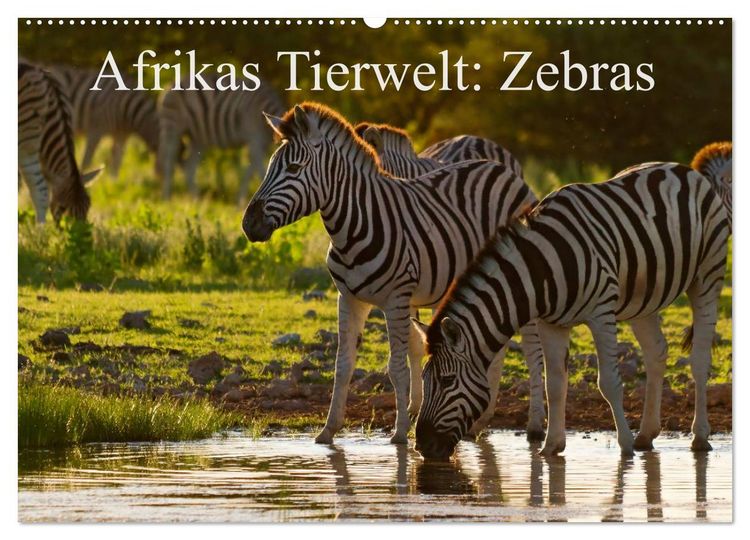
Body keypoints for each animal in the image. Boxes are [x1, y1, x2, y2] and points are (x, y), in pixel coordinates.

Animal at [412, 163, 729, 460]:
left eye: (447, 381)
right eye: (425, 379)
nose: (422, 446)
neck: (540, 269)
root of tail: (682, 169)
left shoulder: (601, 312)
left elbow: (608, 382)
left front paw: (625, 447)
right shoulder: (550, 323)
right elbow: (554, 385)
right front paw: (551, 446)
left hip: (707, 277)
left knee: (700, 360)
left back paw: (699, 437)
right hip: (643, 299)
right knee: (656, 353)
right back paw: (646, 434)